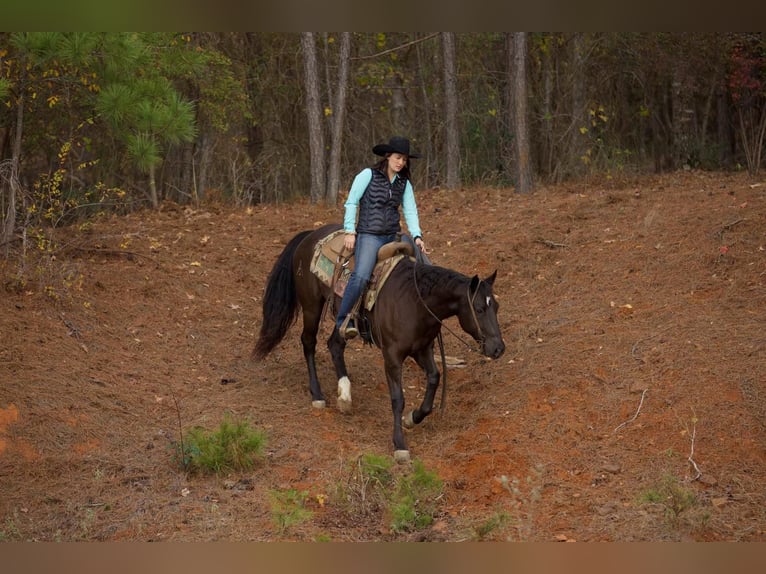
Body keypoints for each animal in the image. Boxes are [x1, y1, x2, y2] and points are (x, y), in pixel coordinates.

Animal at [252, 224, 504, 464]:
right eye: (479, 309)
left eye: (496, 306)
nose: (499, 348)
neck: (415, 299)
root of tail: (310, 235)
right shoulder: (392, 356)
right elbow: (398, 398)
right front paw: (400, 445)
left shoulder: (422, 349)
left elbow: (434, 378)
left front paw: (413, 418)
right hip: (312, 306)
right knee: (308, 343)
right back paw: (318, 395)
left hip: (343, 317)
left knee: (335, 344)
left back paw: (345, 395)